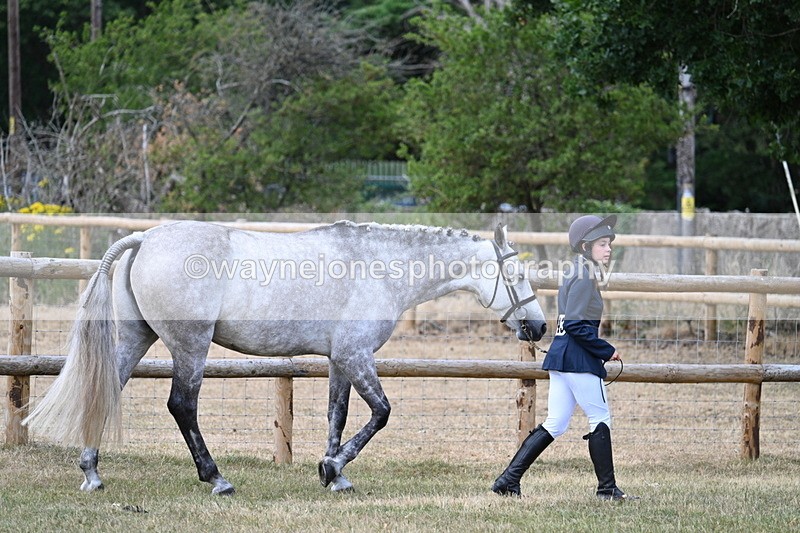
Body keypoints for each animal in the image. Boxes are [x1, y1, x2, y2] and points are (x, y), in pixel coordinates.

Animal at [23, 220, 547, 495]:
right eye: (516, 274)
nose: (539, 327)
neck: (378, 267)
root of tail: (146, 238)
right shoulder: (357, 356)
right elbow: (380, 413)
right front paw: (333, 468)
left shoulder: (340, 360)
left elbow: (339, 415)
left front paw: (334, 475)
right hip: (190, 347)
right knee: (182, 406)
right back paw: (217, 480)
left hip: (138, 338)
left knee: (106, 390)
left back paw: (92, 473)